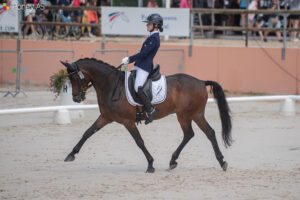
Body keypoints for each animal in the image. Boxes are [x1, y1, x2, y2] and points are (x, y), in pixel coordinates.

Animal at [61, 57, 232, 173]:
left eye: (74, 77)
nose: (76, 98)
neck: (110, 85)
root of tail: (201, 82)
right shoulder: (105, 118)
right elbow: (87, 132)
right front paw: (71, 154)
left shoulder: (127, 121)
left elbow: (139, 141)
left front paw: (150, 164)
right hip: (196, 114)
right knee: (208, 133)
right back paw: (221, 161)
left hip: (184, 115)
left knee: (189, 134)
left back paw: (174, 160)